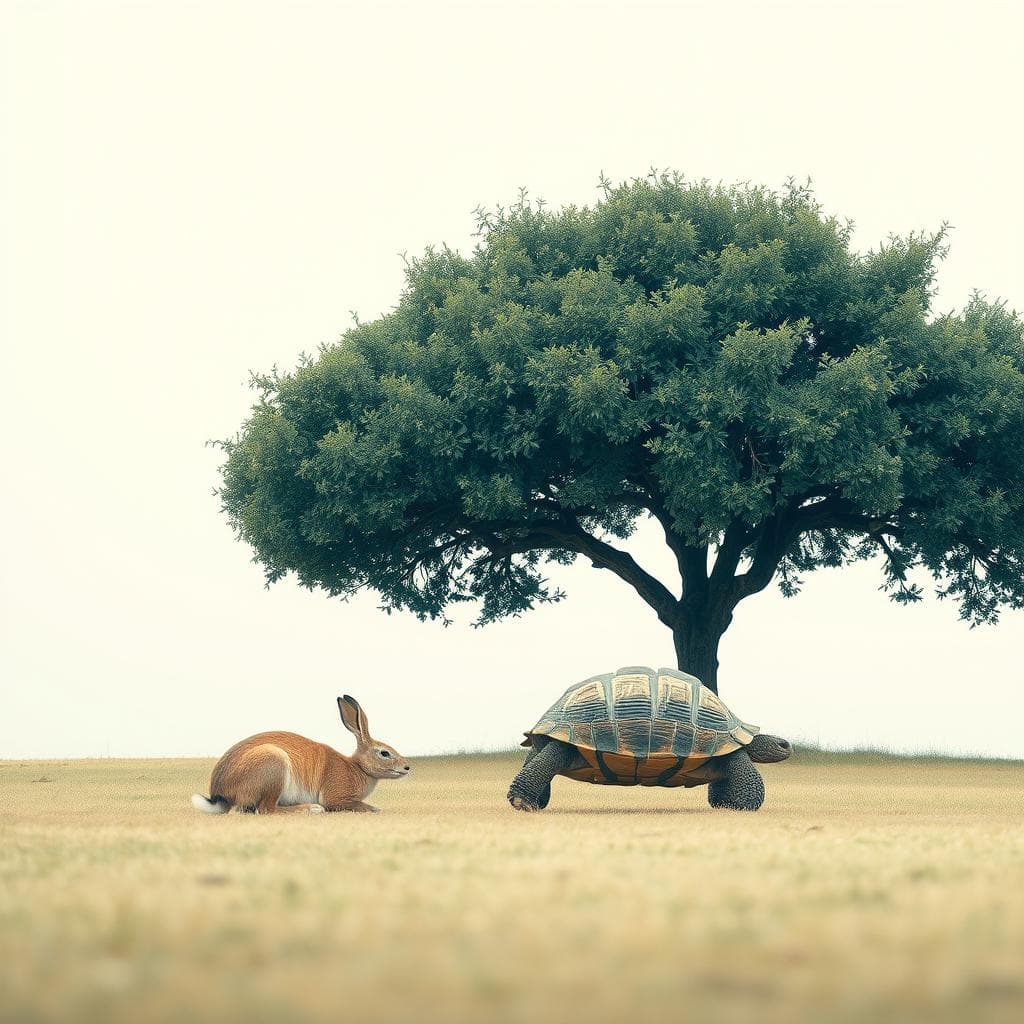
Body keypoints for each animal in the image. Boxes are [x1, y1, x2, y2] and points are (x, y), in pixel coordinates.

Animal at [191, 695, 411, 814]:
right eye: (384, 753)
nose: (407, 767)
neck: (357, 767)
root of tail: (220, 793)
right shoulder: (337, 799)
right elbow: (358, 805)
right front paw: (377, 809)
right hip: (274, 766)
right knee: (266, 809)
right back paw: (311, 809)